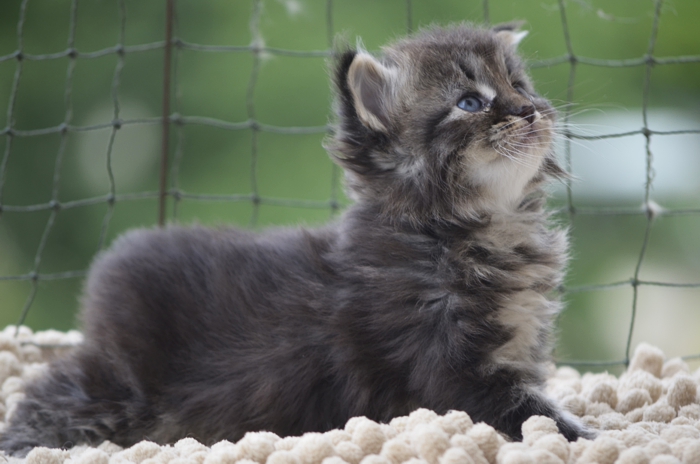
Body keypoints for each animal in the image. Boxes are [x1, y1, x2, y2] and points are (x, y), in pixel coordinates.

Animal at [0, 23, 593, 456]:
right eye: (470, 103)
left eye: (519, 85)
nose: (531, 110)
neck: (471, 228)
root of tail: (112, 263)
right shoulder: (451, 376)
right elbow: (536, 413)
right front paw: (587, 434)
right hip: (116, 386)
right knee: (46, 395)